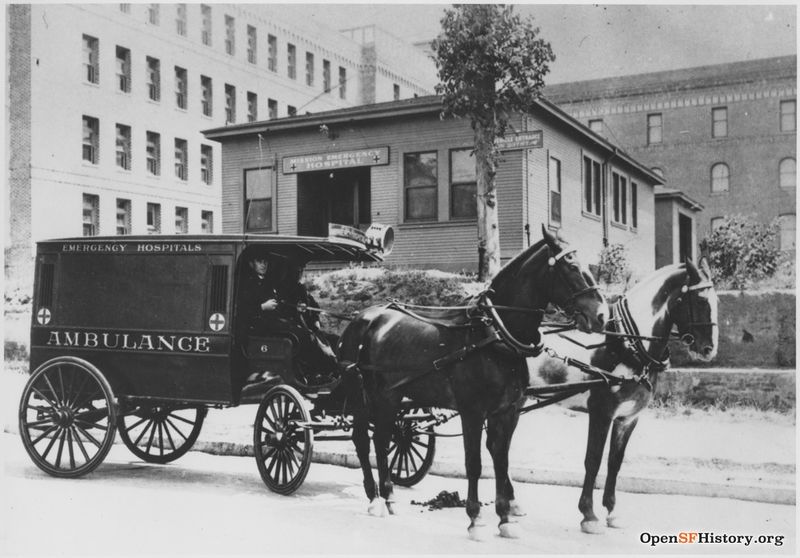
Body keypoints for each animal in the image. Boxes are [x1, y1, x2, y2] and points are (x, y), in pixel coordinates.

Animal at [338, 229, 608, 544]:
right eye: (572, 266)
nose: (602, 315)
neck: (495, 334)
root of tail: (364, 317)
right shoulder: (472, 412)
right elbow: (475, 463)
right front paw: (476, 519)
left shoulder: (507, 412)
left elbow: (501, 460)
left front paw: (505, 519)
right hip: (367, 395)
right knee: (365, 439)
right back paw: (375, 499)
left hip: (390, 396)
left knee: (381, 439)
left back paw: (388, 497)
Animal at [532, 260, 720, 536]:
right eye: (699, 300)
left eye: (716, 300)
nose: (709, 350)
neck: (626, 345)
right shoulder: (601, 414)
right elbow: (593, 460)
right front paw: (588, 515)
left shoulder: (628, 418)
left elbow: (615, 462)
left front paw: (612, 511)